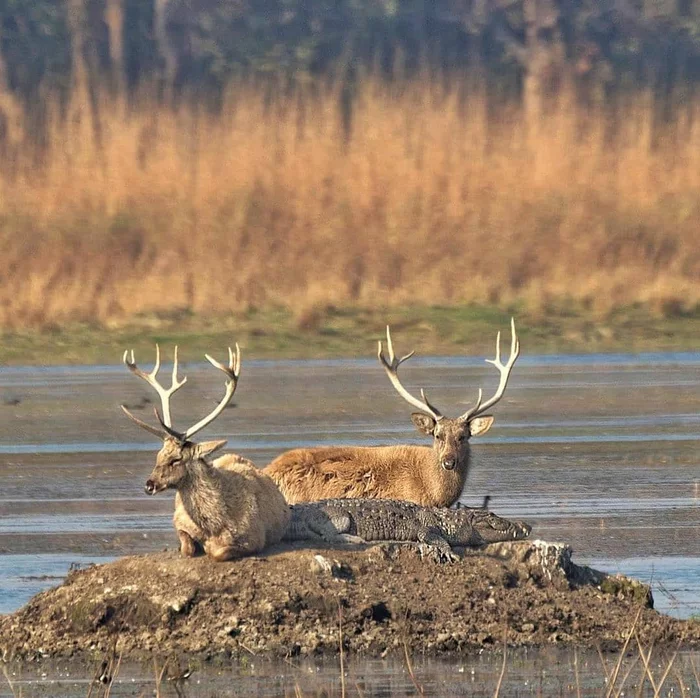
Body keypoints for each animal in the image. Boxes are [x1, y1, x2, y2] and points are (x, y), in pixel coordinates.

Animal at [121, 342, 292, 560]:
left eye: (176, 459)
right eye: (157, 456)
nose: (148, 485)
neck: (215, 526)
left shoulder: (255, 539)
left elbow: (218, 553)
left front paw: (210, 548)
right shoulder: (178, 520)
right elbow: (187, 548)